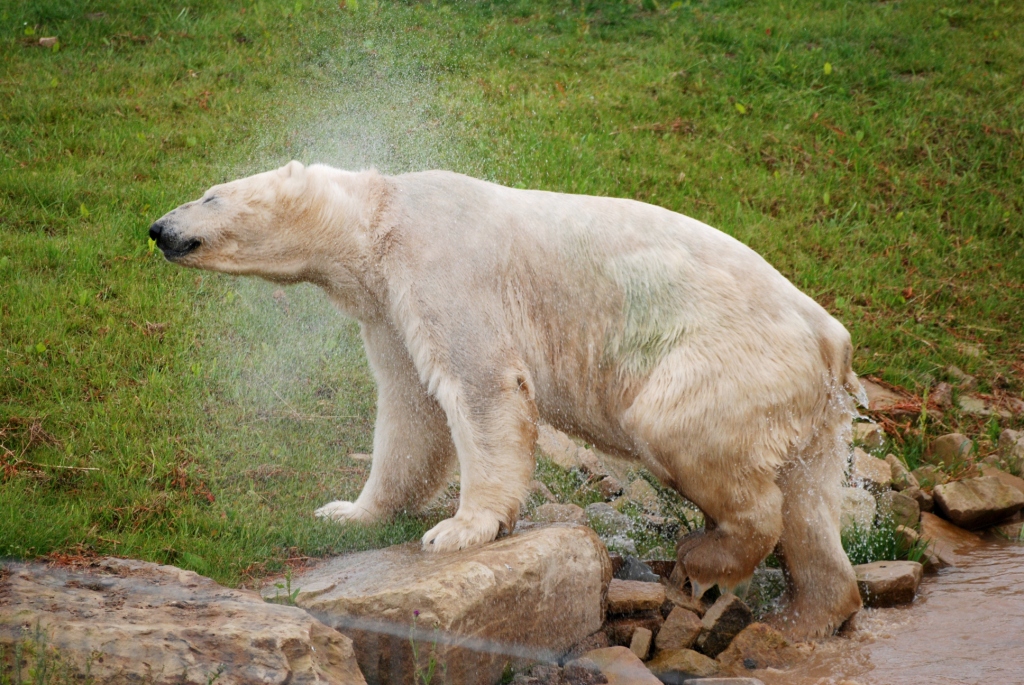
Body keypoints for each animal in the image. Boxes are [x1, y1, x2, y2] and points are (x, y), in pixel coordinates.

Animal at [149, 160, 864, 637]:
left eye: (209, 194)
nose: (157, 228)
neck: (383, 215)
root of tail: (831, 338)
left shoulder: (443, 265)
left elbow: (481, 387)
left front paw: (461, 528)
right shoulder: (388, 308)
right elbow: (410, 414)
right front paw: (347, 513)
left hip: (726, 362)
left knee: (683, 433)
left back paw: (705, 558)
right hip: (803, 406)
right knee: (808, 504)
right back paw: (809, 614)